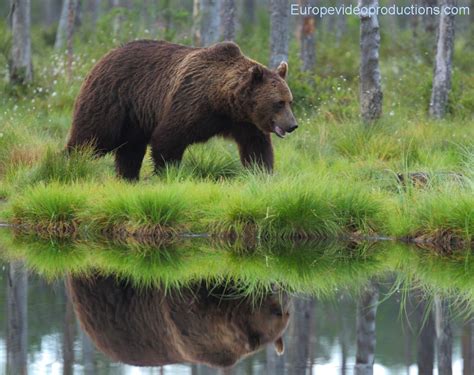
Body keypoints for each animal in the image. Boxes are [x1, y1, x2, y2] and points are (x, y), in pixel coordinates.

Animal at [66, 40, 296, 181]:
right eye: (278, 102)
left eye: (289, 101)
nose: (292, 125)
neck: (223, 101)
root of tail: (102, 58)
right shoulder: (190, 102)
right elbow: (168, 139)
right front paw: (166, 173)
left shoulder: (244, 122)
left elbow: (256, 147)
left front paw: (262, 173)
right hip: (112, 100)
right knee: (92, 137)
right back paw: (70, 164)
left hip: (135, 119)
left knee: (130, 149)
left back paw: (127, 176)